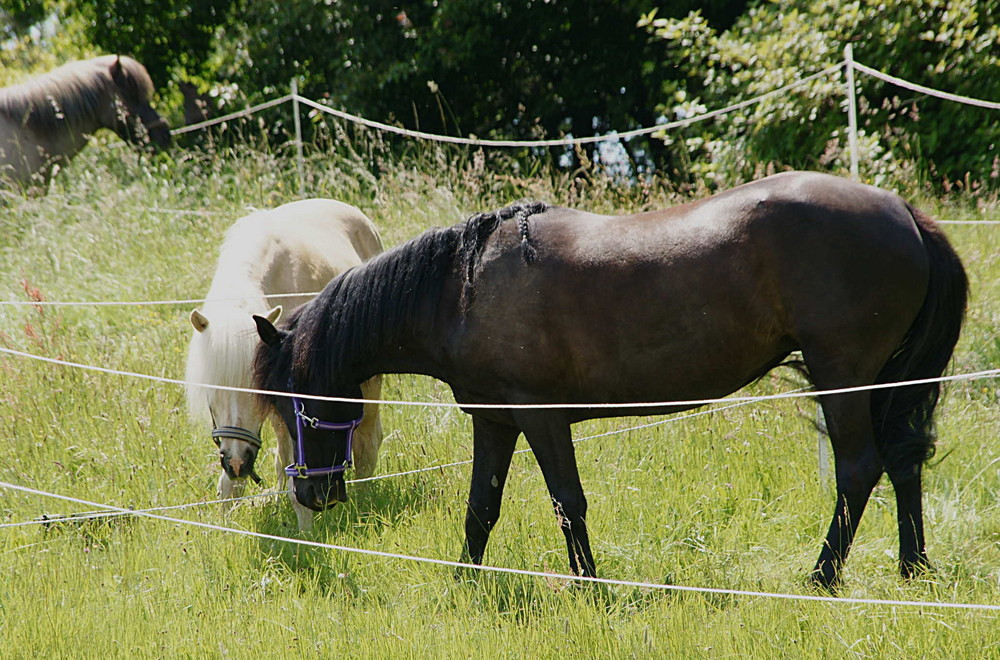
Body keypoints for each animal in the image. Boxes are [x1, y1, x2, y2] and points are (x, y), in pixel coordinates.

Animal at [186, 197, 384, 532]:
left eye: (255, 391)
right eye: (213, 391)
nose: (237, 462)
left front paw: (306, 534)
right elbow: (233, 485)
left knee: (367, 442)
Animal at [252, 171, 968, 588]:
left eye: (295, 404)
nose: (311, 494)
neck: (463, 288)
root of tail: (904, 213)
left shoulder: (540, 417)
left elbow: (568, 503)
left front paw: (589, 587)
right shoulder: (495, 420)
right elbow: (481, 507)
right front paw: (462, 583)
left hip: (844, 375)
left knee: (860, 468)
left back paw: (821, 578)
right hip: (884, 383)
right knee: (903, 461)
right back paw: (912, 571)